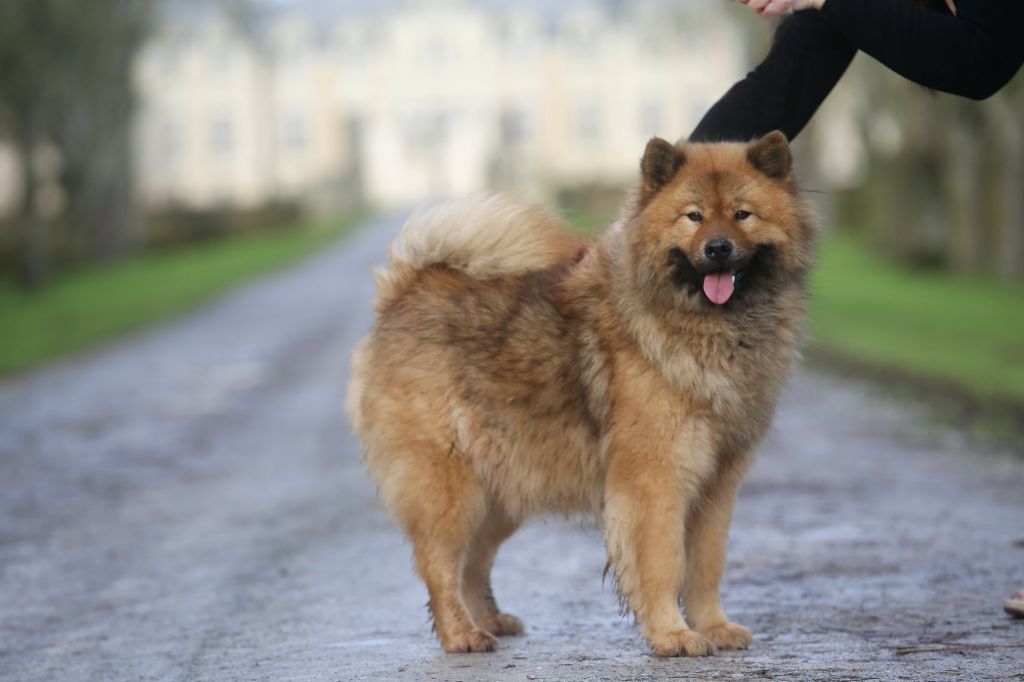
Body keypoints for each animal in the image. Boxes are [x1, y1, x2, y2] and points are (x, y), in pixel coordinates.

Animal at [346, 129, 815, 655]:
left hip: (499, 493)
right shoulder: (655, 481)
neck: (709, 327)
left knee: (474, 561)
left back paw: (489, 620)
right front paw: (672, 634)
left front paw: (713, 626)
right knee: (439, 563)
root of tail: (403, 292)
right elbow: (663, 564)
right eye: (692, 216)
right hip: (449, 487)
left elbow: (706, 567)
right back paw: (461, 634)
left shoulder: (717, 486)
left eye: (742, 214)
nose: (717, 248)